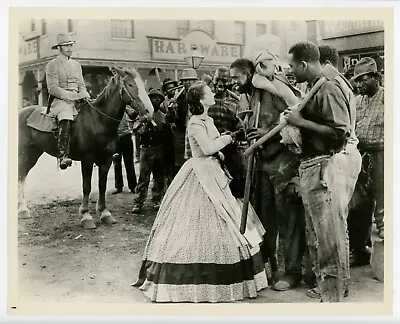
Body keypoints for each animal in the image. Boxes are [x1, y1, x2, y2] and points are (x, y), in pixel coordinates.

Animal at [18, 66, 154, 229]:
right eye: (130, 84)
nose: (149, 111)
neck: (98, 120)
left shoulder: (107, 159)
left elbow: (102, 185)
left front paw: (104, 213)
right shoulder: (87, 160)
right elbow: (87, 186)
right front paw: (86, 216)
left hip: (33, 153)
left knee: (22, 175)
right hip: (23, 153)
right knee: (20, 175)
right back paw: (22, 209)